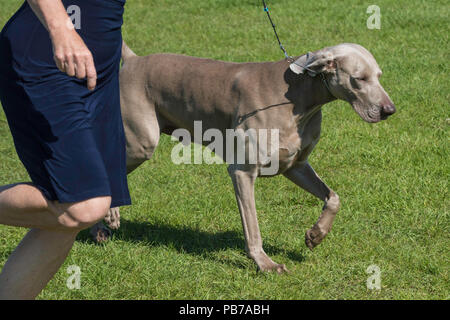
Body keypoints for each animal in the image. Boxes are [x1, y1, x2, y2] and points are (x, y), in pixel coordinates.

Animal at [90, 41, 394, 274]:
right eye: (360, 78)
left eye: (380, 75)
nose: (389, 110)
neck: (298, 98)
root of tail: (133, 60)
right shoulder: (242, 172)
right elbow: (253, 226)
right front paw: (265, 264)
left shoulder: (295, 165)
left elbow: (333, 198)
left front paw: (316, 235)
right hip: (141, 141)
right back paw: (103, 221)